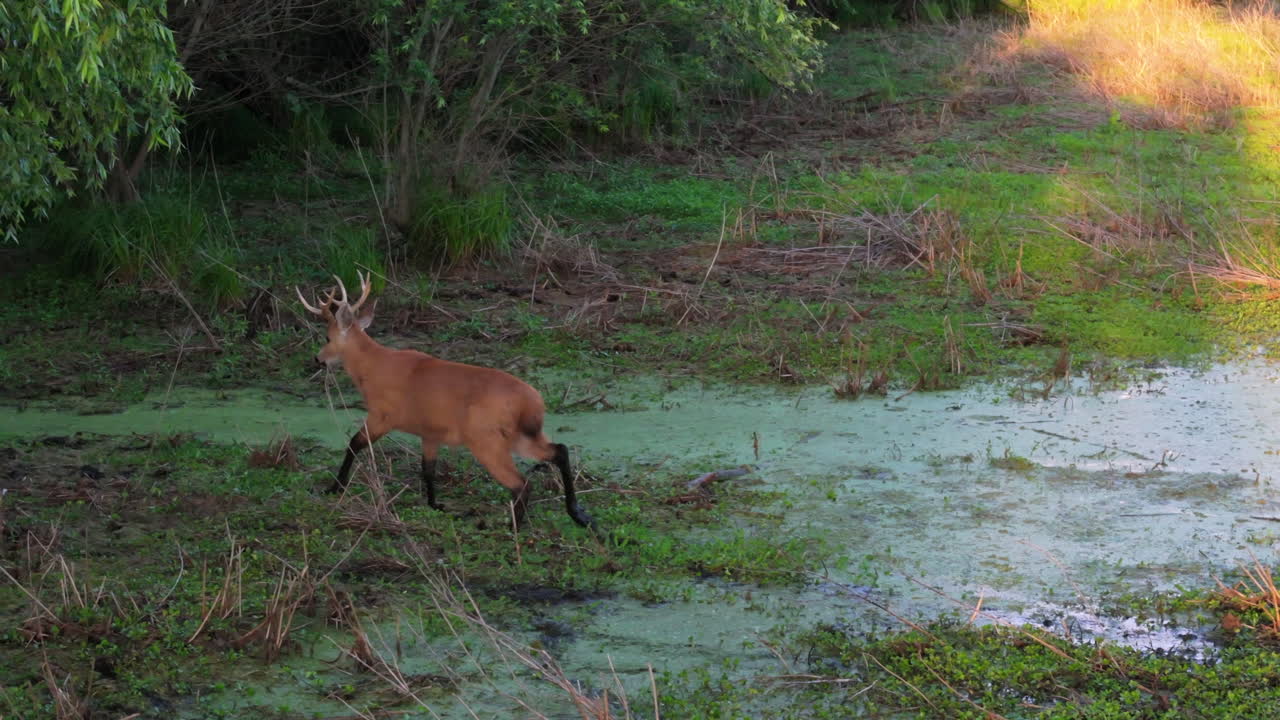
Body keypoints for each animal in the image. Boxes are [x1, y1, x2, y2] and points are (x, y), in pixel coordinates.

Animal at [296, 271, 595, 530]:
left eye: (327, 337)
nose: (317, 359)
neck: (371, 369)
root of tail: (532, 402)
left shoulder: (384, 414)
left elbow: (353, 444)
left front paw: (334, 487)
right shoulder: (430, 432)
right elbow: (428, 470)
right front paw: (435, 504)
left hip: (484, 438)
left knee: (521, 483)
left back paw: (511, 527)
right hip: (520, 434)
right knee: (559, 450)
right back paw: (579, 515)